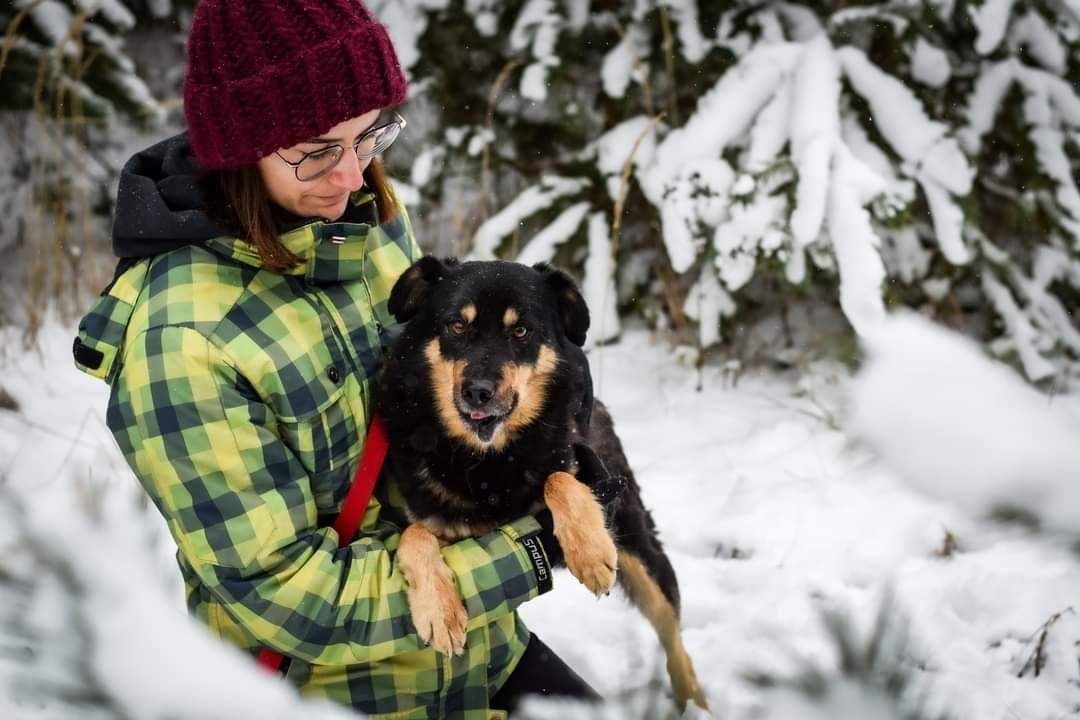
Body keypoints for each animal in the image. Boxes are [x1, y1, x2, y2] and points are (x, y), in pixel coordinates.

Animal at [380, 255, 708, 712]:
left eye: (521, 331)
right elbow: (414, 536)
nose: (478, 392)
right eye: (456, 326)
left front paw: (589, 551)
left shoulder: (576, 466)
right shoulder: (440, 528)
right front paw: (439, 610)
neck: (487, 463)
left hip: (639, 547)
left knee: (674, 637)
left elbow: (559, 478)